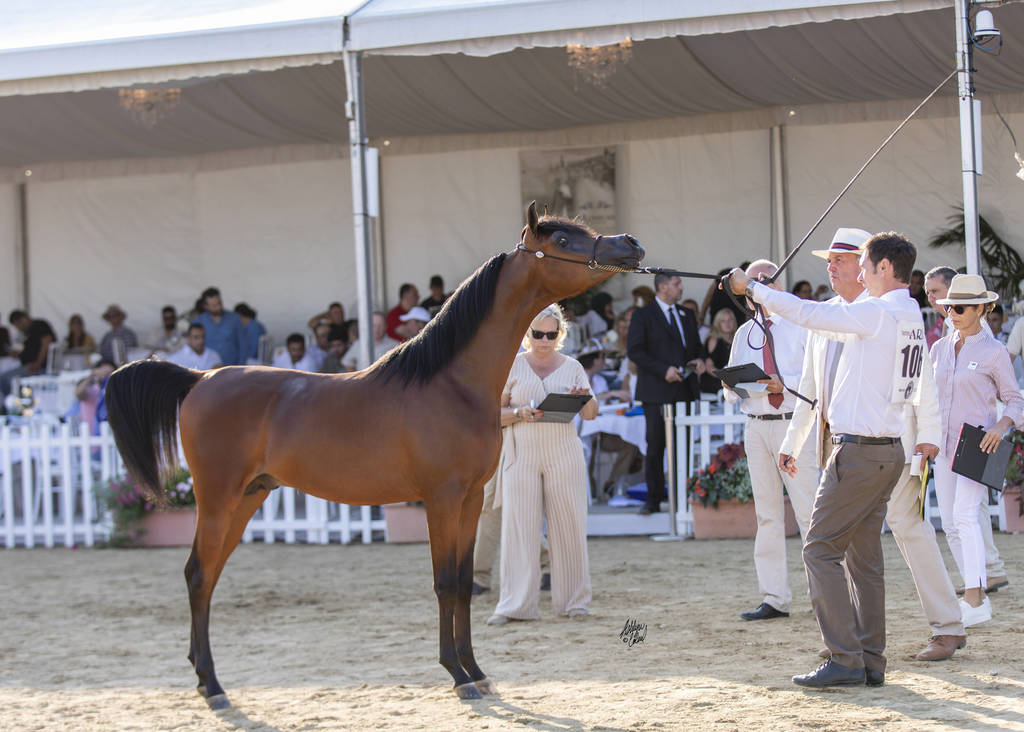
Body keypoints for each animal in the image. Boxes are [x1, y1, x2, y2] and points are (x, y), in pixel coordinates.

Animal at [104, 201, 644, 709]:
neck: (450, 383)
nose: (630, 244)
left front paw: (477, 671)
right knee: (198, 574)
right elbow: (444, 582)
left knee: (207, 575)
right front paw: (457, 676)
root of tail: (200, 378)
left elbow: (464, 581)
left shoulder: (470, 499)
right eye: (561, 238)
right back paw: (213, 686)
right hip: (217, 497)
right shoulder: (441, 499)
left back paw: (204, 679)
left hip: (248, 497)